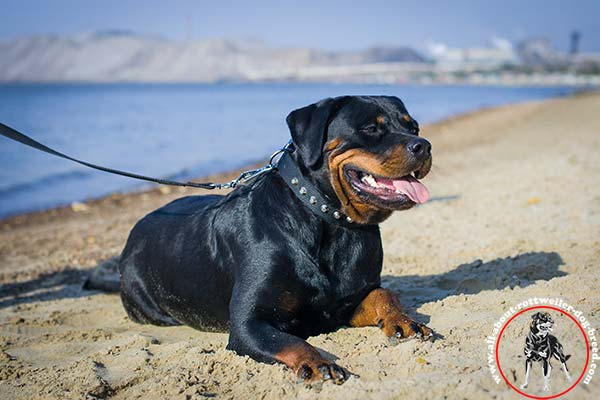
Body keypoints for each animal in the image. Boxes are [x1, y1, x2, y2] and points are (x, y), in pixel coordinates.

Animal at [118, 95, 436, 382]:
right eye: (370, 128)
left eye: (414, 127)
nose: (423, 145)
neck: (330, 223)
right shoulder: (249, 323)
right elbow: (290, 341)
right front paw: (318, 362)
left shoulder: (349, 302)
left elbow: (385, 295)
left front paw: (405, 321)